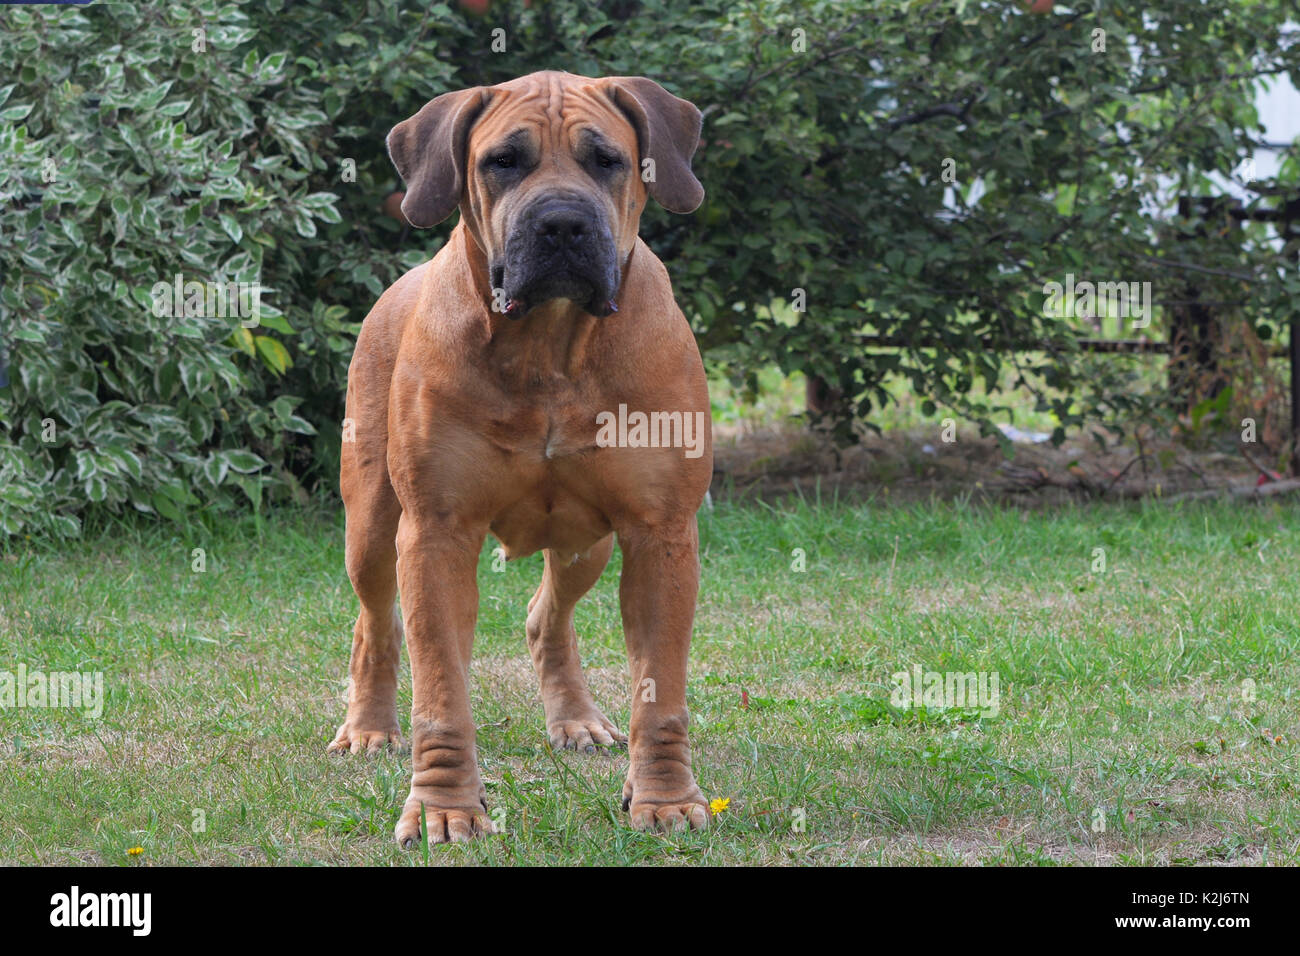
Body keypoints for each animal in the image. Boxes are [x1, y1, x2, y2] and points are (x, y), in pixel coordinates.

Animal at [325, 69, 712, 842]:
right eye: (502, 161)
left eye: (607, 160)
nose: (562, 223)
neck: (551, 344)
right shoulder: (435, 534)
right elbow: (441, 690)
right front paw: (444, 808)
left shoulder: (660, 533)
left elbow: (659, 693)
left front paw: (663, 798)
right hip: (371, 526)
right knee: (374, 624)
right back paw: (369, 728)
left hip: (589, 542)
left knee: (547, 616)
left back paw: (577, 720)